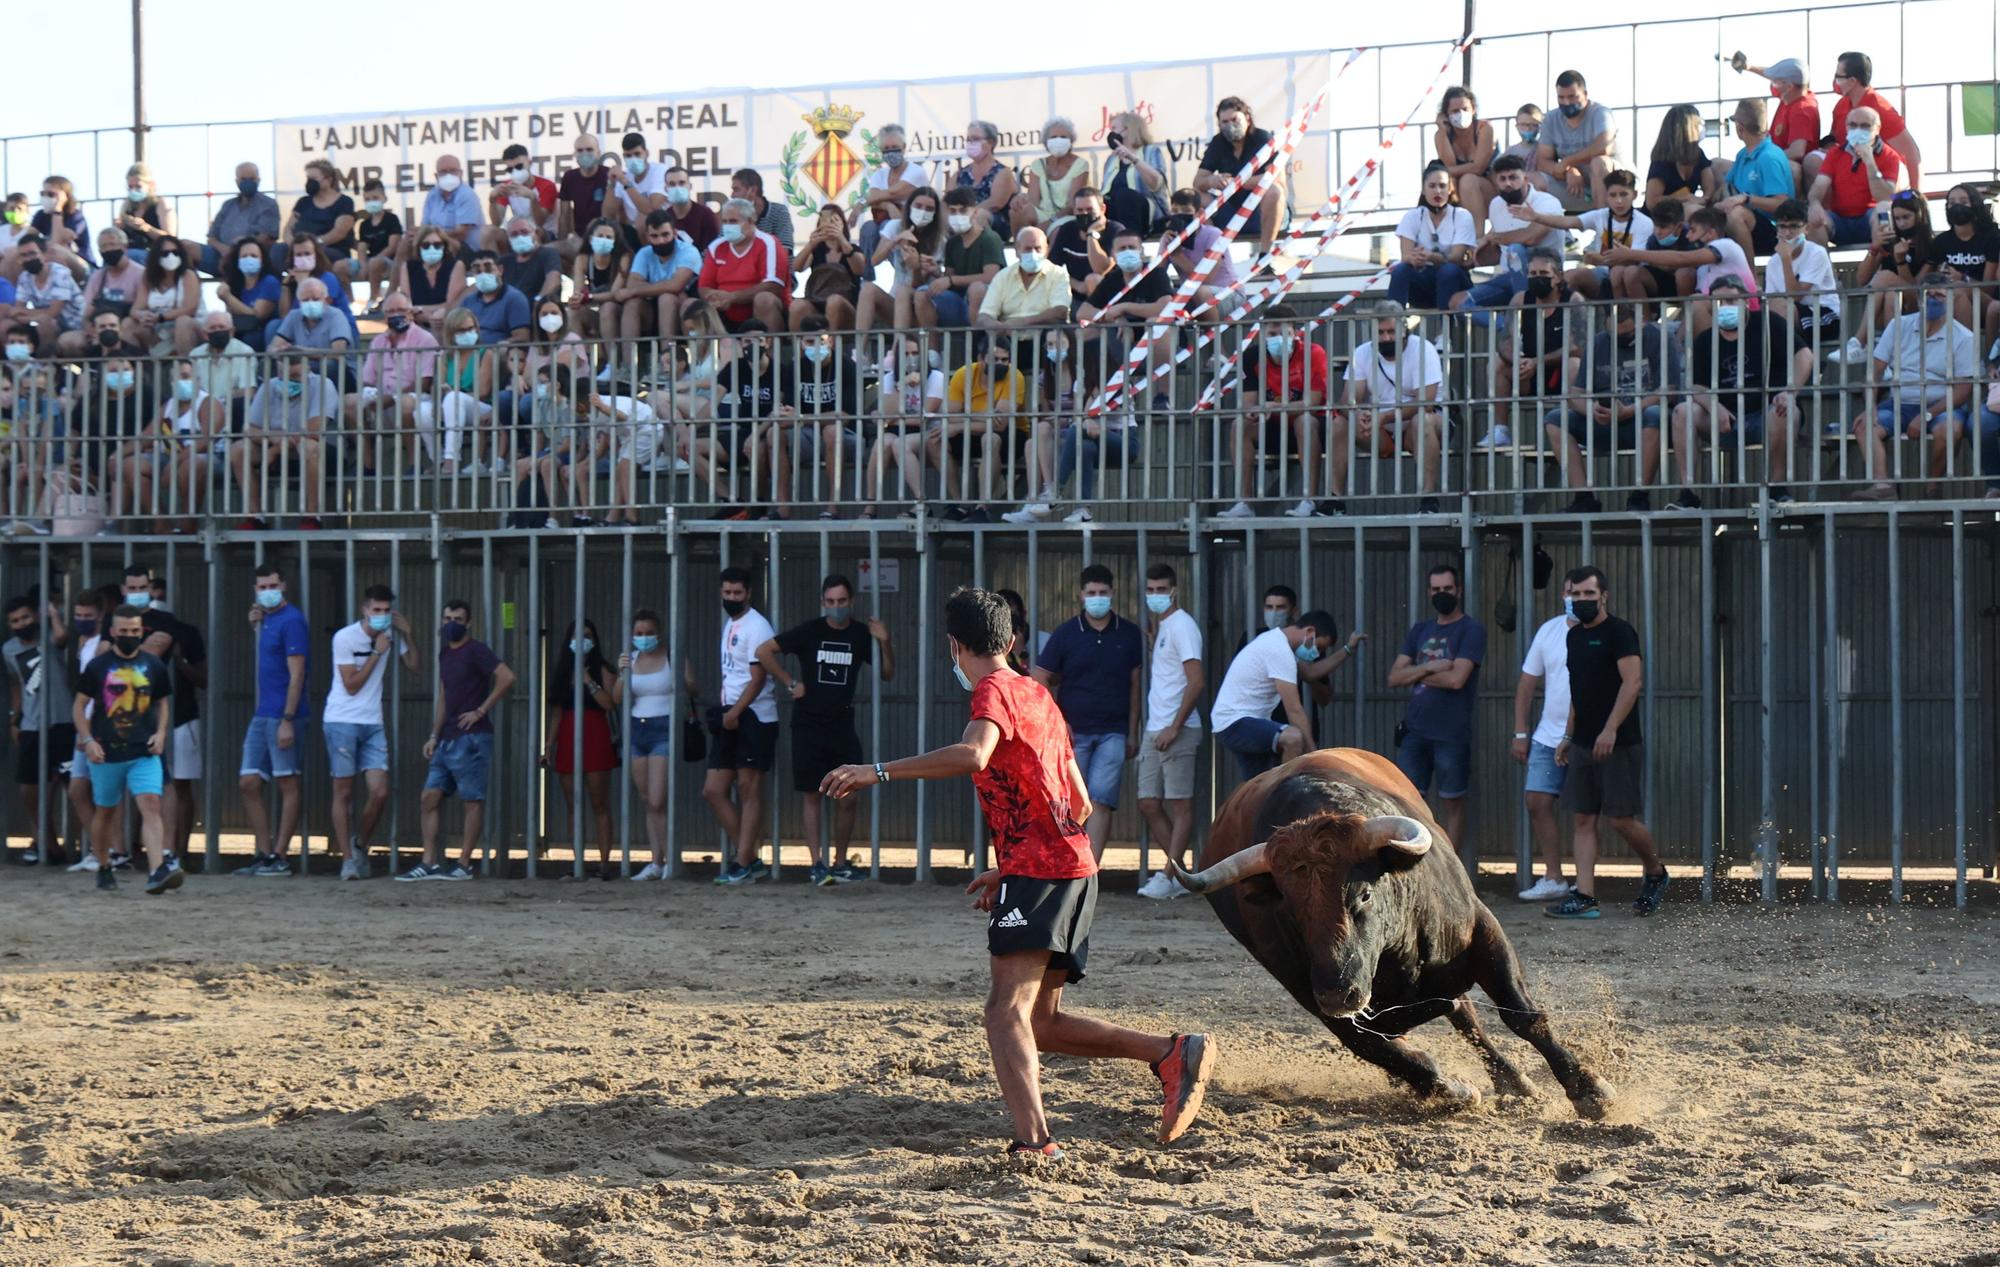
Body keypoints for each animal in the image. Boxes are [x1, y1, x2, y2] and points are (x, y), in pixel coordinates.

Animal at [1168, 743, 1616, 1111]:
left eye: (1364, 894)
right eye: (1291, 911)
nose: (1338, 993)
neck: (1396, 951)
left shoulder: (1483, 931)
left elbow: (1521, 1015)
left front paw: (1589, 1090)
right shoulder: (1316, 998)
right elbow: (1391, 1052)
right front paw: (1453, 1090)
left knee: (1467, 1016)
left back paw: (1514, 1081)